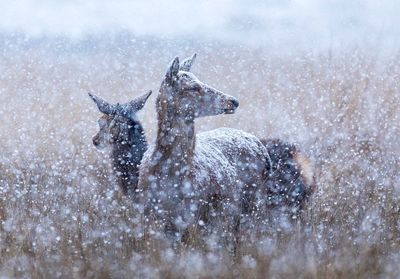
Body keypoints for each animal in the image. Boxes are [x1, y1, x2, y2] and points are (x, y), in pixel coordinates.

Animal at [137, 54, 272, 243]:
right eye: (193, 87)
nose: (233, 101)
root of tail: (265, 153)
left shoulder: (192, 216)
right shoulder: (148, 216)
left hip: (255, 203)